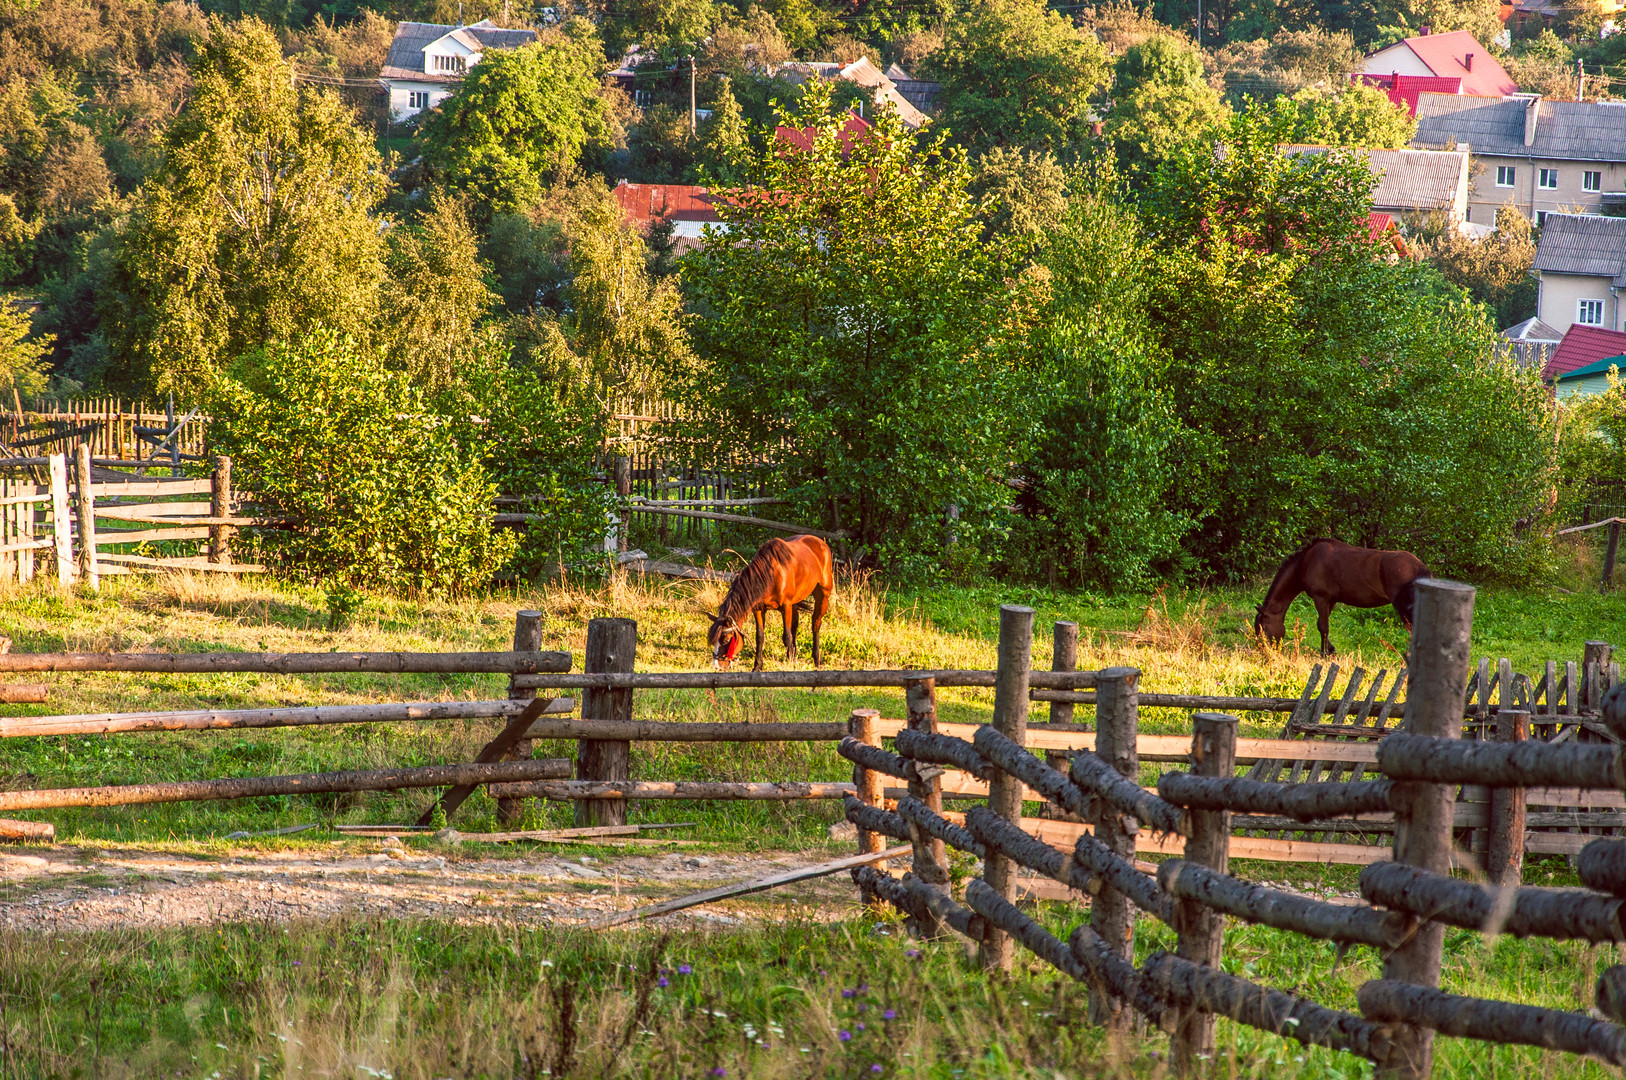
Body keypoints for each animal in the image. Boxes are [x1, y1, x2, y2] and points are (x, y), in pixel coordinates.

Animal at [705, 536, 832, 670]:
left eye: (726, 640)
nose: (716, 665)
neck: (771, 575)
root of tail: (820, 542)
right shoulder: (759, 609)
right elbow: (760, 637)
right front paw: (757, 666)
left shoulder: (786, 607)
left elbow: (787, 637)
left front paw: (790, 664)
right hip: (795, 601)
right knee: (795, 624)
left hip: (823, 595)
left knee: (815, 624)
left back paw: (817, 659)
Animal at [1248, 536, 1430, 653]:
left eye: (1262, 627)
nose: (1263, 650)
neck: (1306, 562)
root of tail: (1419, 567)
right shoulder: (1331, 600)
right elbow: (1324, 624)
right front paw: (1330, 649)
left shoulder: (1321, 598)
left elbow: (1322, 626)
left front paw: (1324, 653)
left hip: (1402, 607)